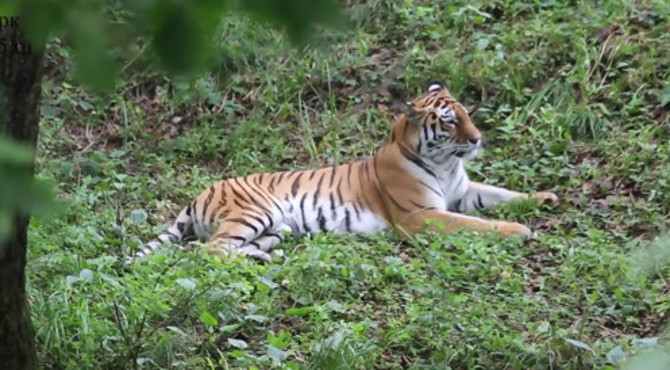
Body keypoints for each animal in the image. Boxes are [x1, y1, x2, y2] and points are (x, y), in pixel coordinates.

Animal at [123, 81, 560, 266]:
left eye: (467, 113)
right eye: (451, 121)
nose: (477, 138)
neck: (445, 162)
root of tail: (197, 195)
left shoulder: (464, 191)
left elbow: (504, 194)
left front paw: (545, 197)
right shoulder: (421, 216)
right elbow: (475, 225)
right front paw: (519, 231)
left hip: (278, 226)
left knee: (228, 247)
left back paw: (265, 256)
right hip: (256, 212)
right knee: (209, 251)